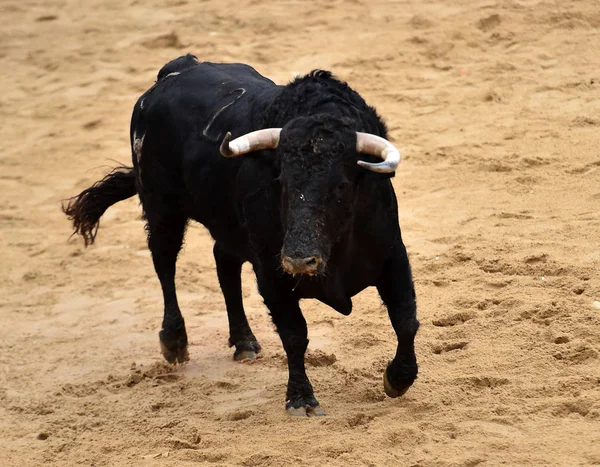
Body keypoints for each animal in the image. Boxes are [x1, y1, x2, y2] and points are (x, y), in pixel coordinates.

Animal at [63, 54, 420, 416]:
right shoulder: (271, 273)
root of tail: (175, 70)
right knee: (164, 262)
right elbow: (295, 334)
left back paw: (244, 341)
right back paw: (175, 340)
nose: (298, 261)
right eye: (282, 182)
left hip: (226, 225)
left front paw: (398, 379)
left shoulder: (393, 256)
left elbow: (405, 319)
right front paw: (301, 399)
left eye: (341, 187)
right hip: (161, 207)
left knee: (224, 264)